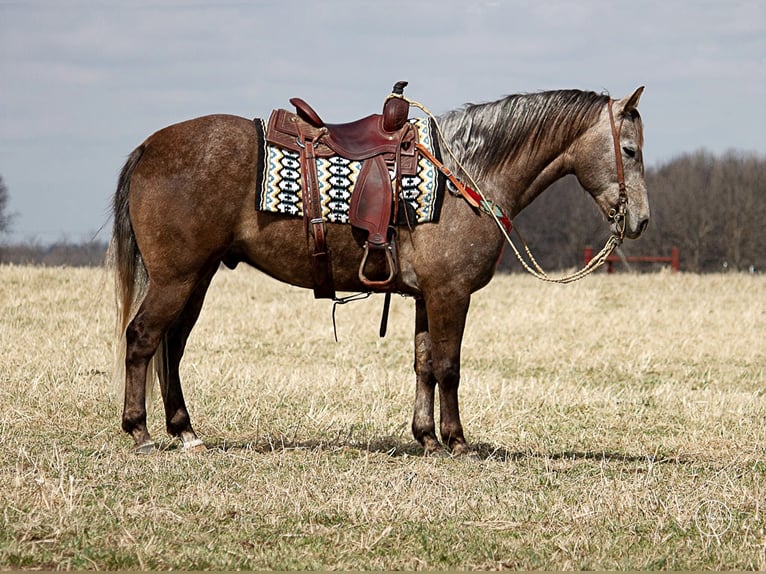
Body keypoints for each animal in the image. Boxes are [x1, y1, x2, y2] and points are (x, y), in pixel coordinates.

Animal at [109, 85, 648, 456]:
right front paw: (457, 440)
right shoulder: (451, 293)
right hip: (176, 279)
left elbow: (425, 364)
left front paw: (426, 437)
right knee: (143, 338)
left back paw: (185, 431)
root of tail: (150, 147)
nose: (640, 221)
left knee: (171, 348)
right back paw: (139, 431)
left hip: (197, 278)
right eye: (630, 150)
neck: (467, 174)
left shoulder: (428, 296)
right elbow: (449, 366)